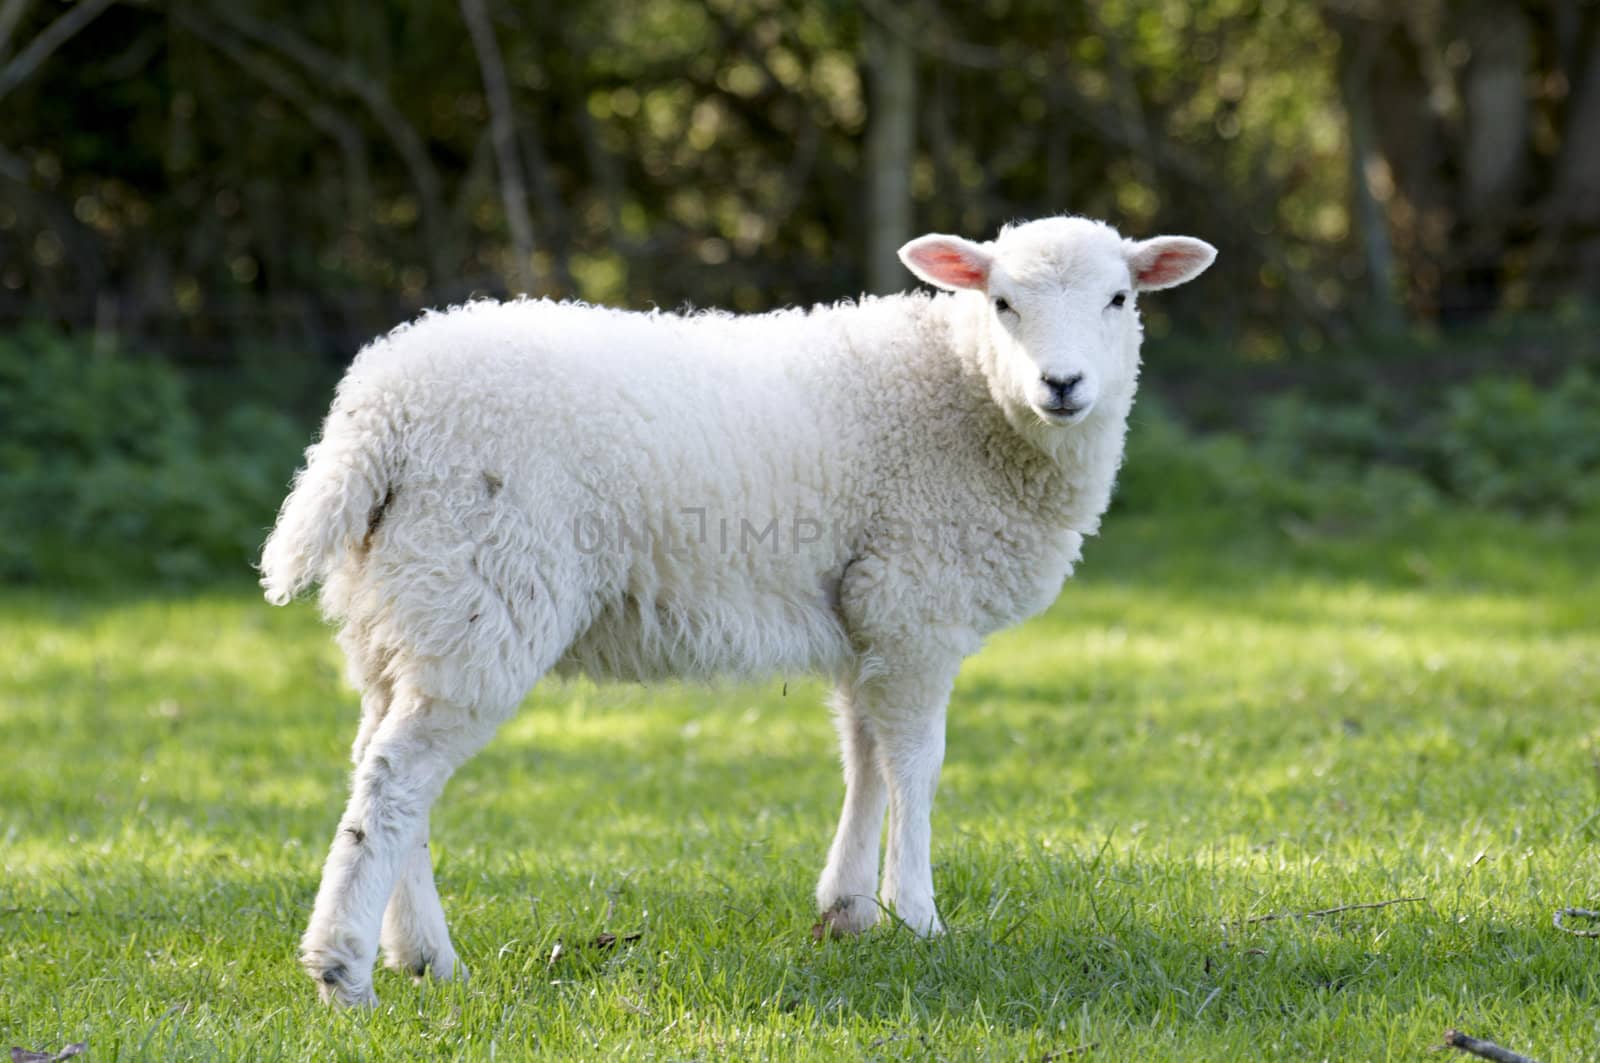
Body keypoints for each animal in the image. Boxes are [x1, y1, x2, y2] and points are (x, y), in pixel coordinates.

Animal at [259, 214, 1209, 1005]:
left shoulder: (863, 609)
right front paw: (919, 915)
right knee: (397, 776)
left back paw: (424, 956)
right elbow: (917, 763)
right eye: (1002, 302)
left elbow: (863, 757)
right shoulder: (914, 600)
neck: (967, 394)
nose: (1063, 384)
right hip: (484, 590)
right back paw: (344, 970)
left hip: (401, 602)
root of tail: (379, 411)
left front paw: (849, 910)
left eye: (1120, 298)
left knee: (380, 762)